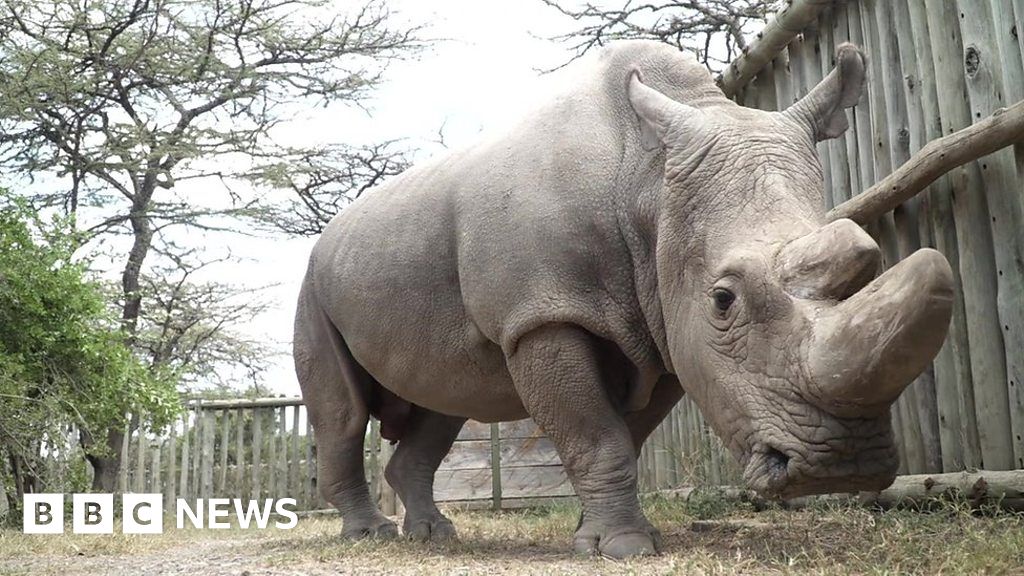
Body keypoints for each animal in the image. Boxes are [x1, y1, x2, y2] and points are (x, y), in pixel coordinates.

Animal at [294, 40, 950, 557]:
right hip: (313, 282)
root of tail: (328, 237)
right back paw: (371, 536)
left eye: (868, 264)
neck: (649, 184)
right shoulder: (541, 316)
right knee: (343, 414)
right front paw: (627, 547)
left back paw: (434, 536)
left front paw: (593, 538)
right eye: (723, 300)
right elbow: (596, 436)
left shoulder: (661, 329)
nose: (845, 464)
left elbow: (623, 439)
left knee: (442, 405)